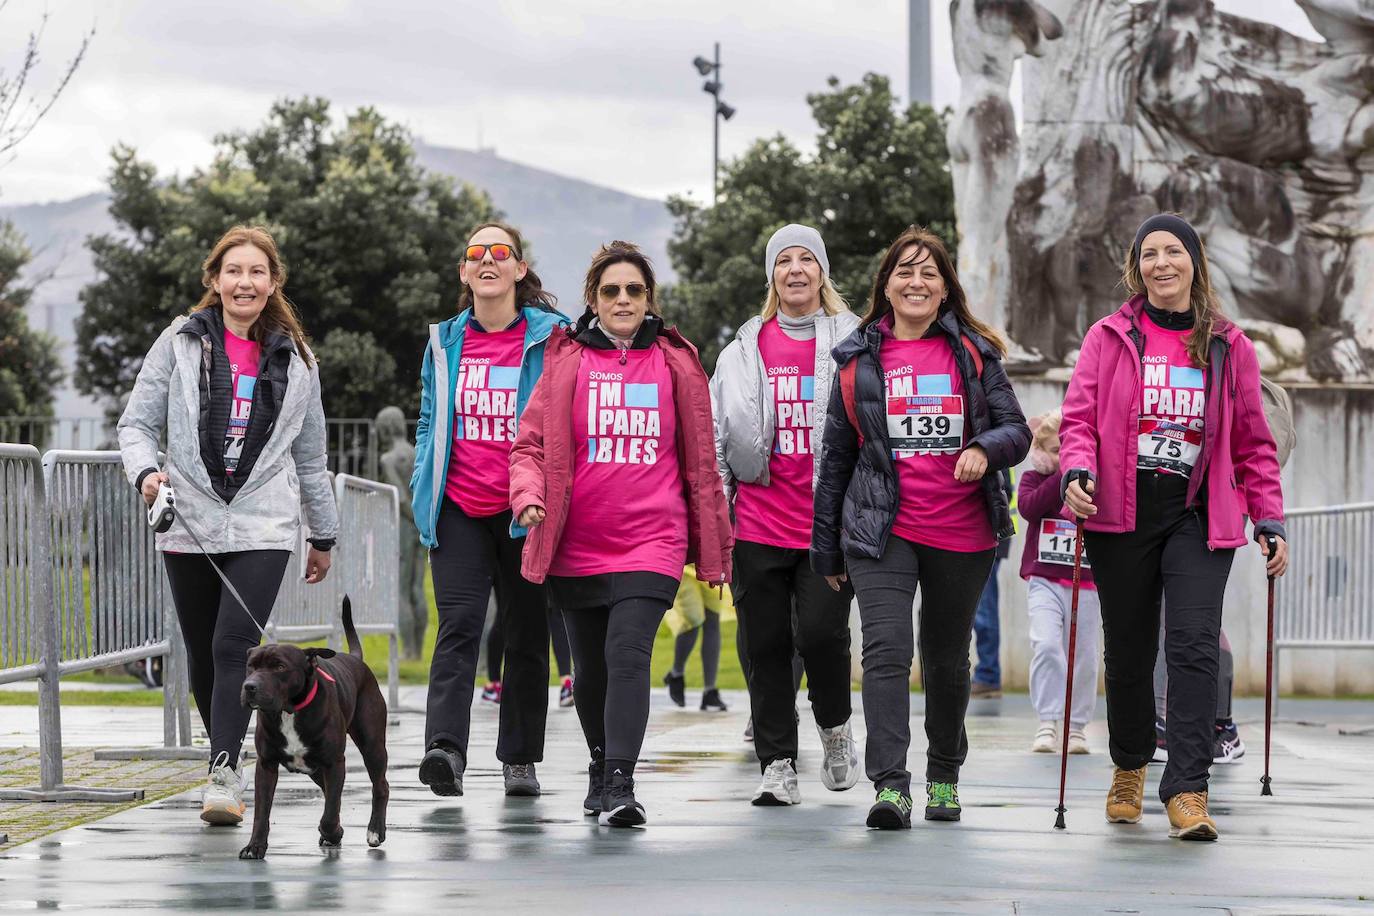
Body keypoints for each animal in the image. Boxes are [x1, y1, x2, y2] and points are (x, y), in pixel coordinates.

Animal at [239, 596, 390, 862]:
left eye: (279, 667)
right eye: (251, 666)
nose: (250, 686)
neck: (289, 710)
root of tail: (357, 659)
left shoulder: (334, 763)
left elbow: (330, 813)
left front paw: (332, 832)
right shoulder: (266, 764)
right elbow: (261, 812)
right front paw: (254, 846)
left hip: (372, 746)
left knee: (380, 786)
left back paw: (375, 831)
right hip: (315, 769)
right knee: (331, 792)